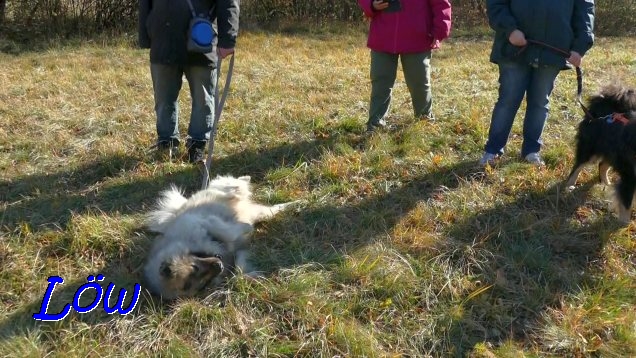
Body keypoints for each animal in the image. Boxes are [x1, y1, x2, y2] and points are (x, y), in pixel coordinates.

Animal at [568, 84, 636, 222]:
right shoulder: (630, 176)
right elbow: (626, 204)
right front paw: (624, 224)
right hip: (591, 150)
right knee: (578, 166)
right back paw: (569, 185)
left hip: (613, 153)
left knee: (602, 165)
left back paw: (606, 184)